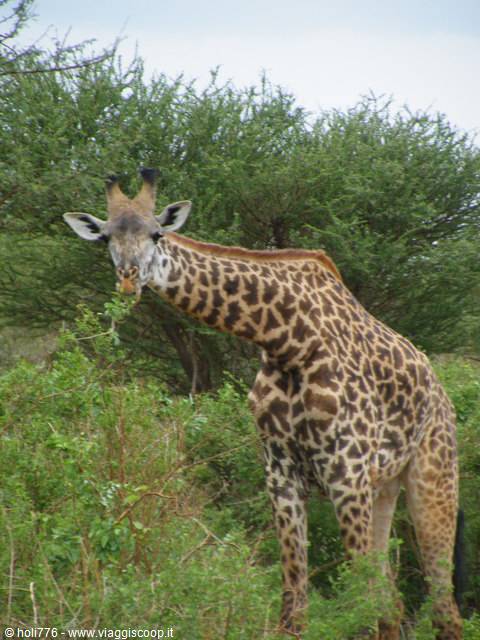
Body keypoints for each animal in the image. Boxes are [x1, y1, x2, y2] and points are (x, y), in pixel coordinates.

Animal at [64, 169, 462, 639]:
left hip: (433, 476)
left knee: (442, 604)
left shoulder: (346, 473)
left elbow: (359, 604)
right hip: (384, 487)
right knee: (394, 604)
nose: (128, 280)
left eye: (157, 233)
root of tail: (442, 394)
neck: (287, 339)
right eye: (106, 237)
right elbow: (295, 605)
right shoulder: (280, 474)